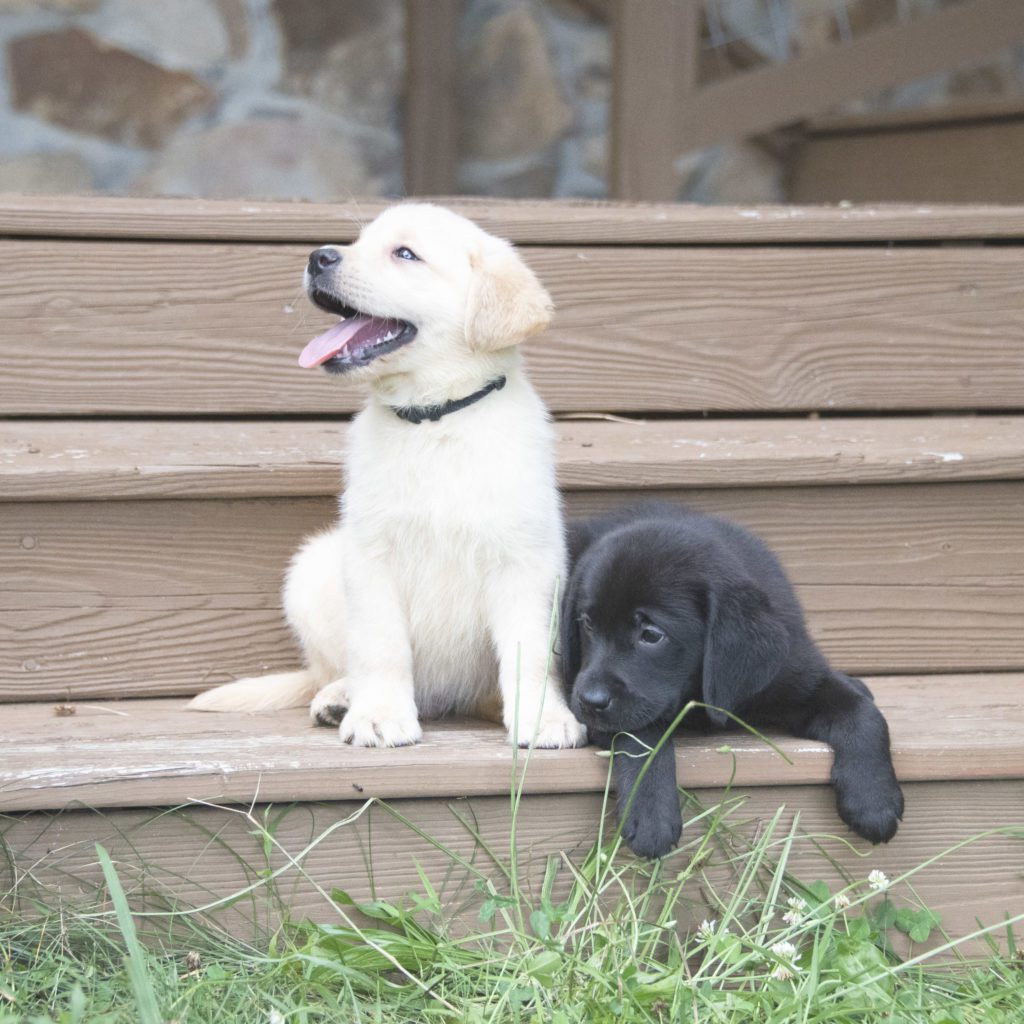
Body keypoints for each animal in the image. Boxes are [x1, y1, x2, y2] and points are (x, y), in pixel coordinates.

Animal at [186, 205, 585, 753]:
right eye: (358, 241)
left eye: (405, 253)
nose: (318, 256)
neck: (434, 419)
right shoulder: (371, 556)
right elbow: (381, 648)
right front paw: (378, 716)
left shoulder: (525, 560)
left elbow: (530, 652)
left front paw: (543, 719)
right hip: (311, 568)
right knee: (335, 667)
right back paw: (339, 698)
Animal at [561, 501, 905, 856]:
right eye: (587, 623)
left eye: (651, 634)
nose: (589, 701)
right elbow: (643, 734)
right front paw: (651, 815)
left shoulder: (794, 676)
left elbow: (863, 714)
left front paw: (874, 802)